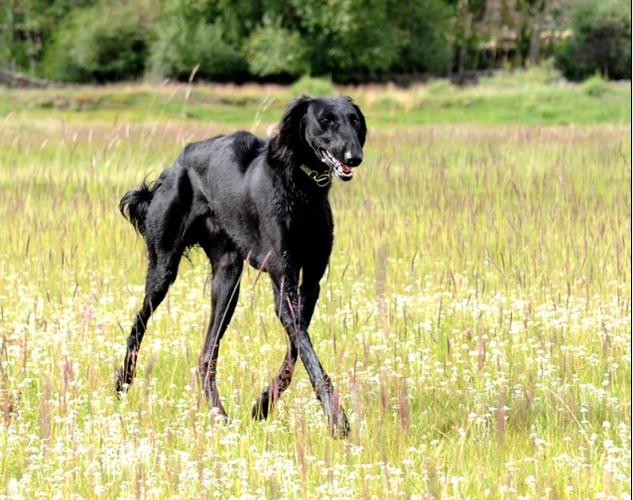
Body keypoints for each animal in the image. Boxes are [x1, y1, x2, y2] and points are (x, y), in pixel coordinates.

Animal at [116, 95, 366, 436]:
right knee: (139, 322)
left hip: (227, 279)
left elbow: (296, 350)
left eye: (354, 120)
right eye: (325, 120)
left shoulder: (310, 282)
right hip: (163, 268)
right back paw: (123, 381)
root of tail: (176, 163)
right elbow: (307, 353)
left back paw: (219, 416)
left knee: (206, 356)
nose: (355, 157)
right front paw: (338, 420)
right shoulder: (284, 282)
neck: (301, 186)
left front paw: (262, 404)